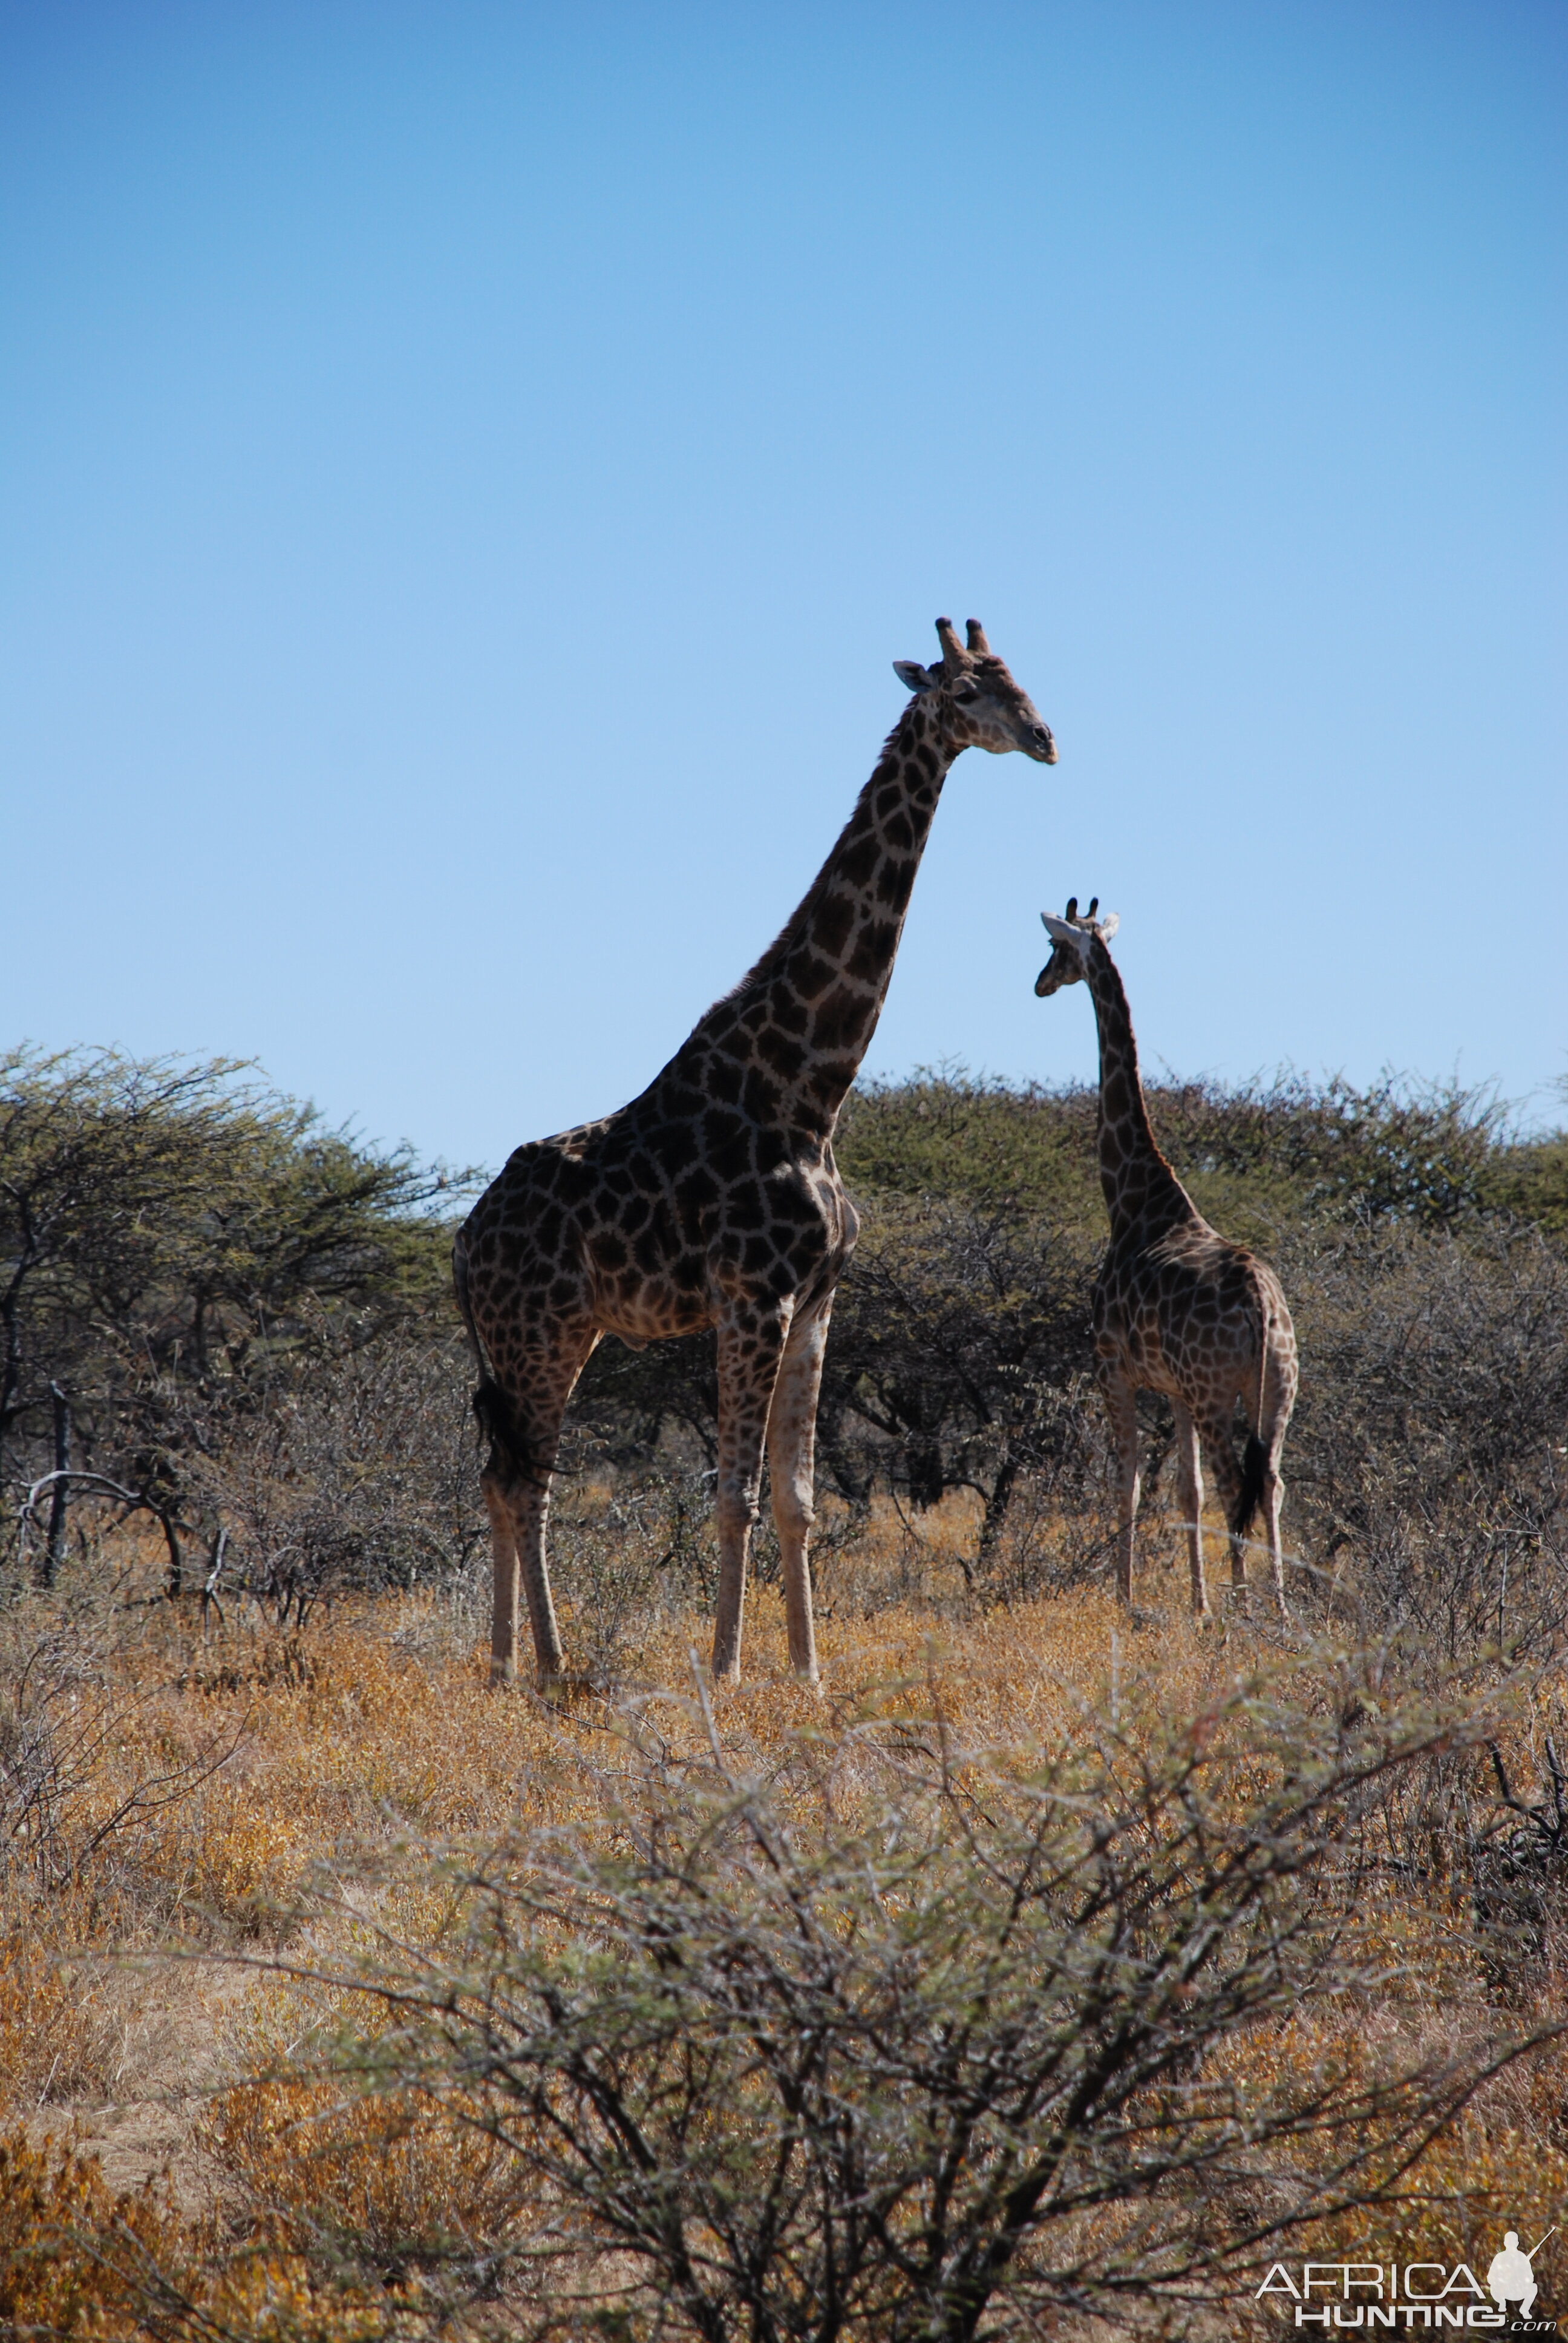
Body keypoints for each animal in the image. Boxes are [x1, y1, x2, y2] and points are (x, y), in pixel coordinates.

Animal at [459, 623, 1059, 1686]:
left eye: (1017, 679)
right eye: (964, 689)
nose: (1044, 739)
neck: (809, 1088)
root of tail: (460, 1242)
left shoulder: (819, 1300)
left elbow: (797, 1498)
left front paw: (810, 1674)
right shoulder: (753, 1297)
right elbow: (732, 1492)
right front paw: (729, 1670)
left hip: (564, 1334)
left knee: (505, 1478)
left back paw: (510, 1668)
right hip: (538, 1333)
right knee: (525, 1481)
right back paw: (545, 1671)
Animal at [1027, 895, 1293, 1611]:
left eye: (1055, 948)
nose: (1038, 984)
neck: (1132, 1199)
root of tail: (1262, 1305)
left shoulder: (1111, 1367)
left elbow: (1129, 1481)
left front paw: (1125, 1597)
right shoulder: (1172, 1389)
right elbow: (1185, 1491)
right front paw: (1196, 1603)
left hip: (1216, 1391)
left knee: (1237, 1484)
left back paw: (1245, 1605)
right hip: (1276, 1388)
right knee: (1271, 1480)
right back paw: (1282, 1604)